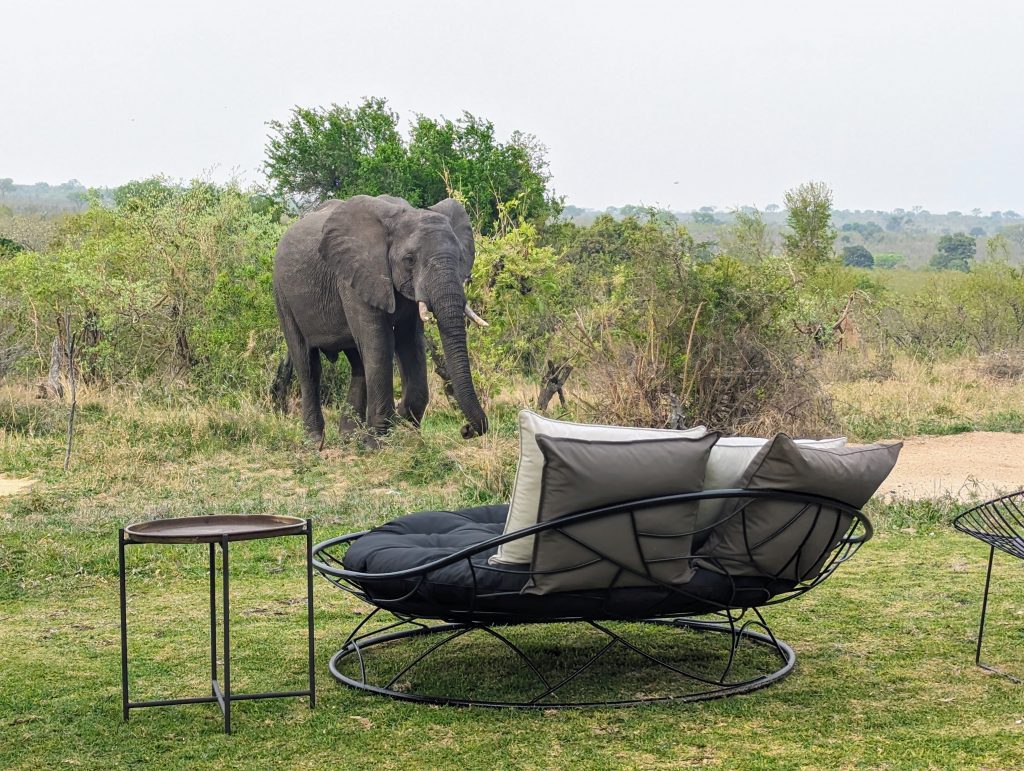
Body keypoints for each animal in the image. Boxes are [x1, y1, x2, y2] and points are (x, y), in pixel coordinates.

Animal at [272, 192, 487, 444]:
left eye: (461, 257)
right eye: (409, 260)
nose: (466, 429)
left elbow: (409, 342)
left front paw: (404, 428)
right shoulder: (356, 275)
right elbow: (379, 342)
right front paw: (379, 442)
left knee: (358, 364)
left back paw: (349, 438)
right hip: (282, 295)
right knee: (308, 364)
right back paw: (315, 442)